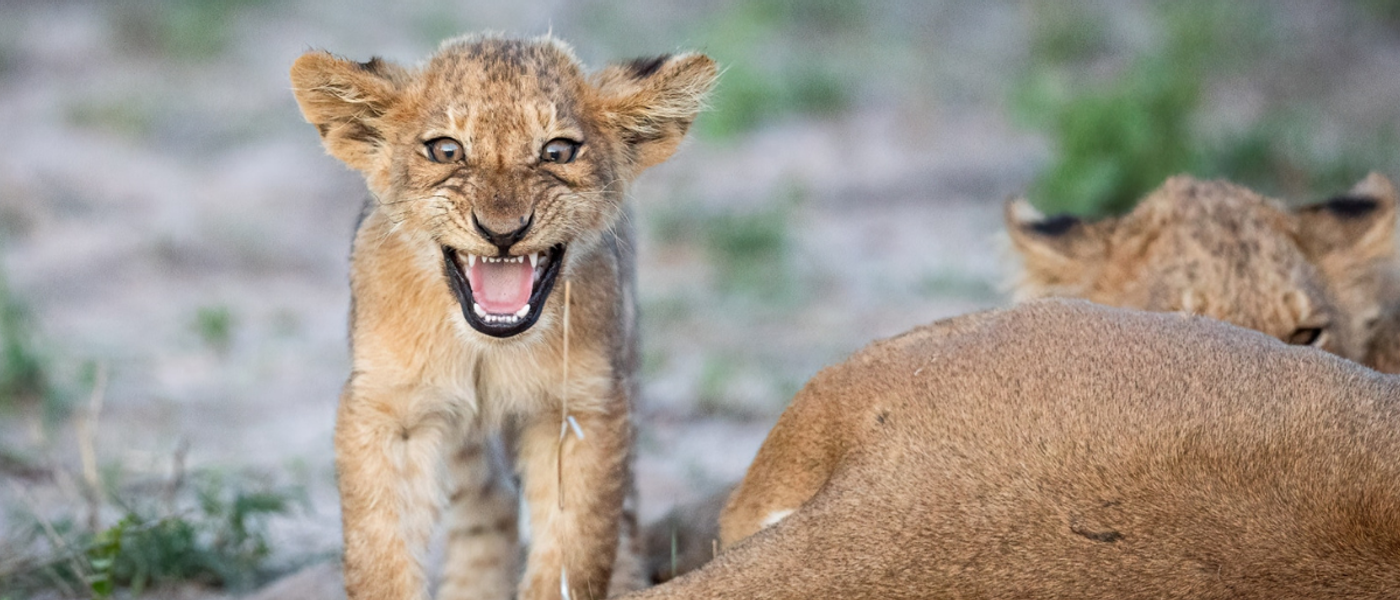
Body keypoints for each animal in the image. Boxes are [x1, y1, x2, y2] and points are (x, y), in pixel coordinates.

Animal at [289, 33, 716, 600]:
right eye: (446, 150)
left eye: (557, 151)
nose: (503, 231)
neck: (485, 347)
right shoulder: (388, 409)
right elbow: (380, 551)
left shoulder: (581, 408)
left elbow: (575, 547)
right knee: (488, 501)